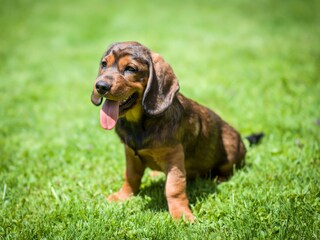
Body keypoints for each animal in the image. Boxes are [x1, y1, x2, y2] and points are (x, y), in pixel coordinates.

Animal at [91, 41, 246, 221]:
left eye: (130, 69)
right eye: (104, 64)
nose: (100, 86)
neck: (138, 123)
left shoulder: (174, 158)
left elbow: (174, 188)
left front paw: (181, 213)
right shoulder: (131, 154)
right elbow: (131, 177)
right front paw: (123, 196)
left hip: (230, 148)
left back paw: (218, 178)